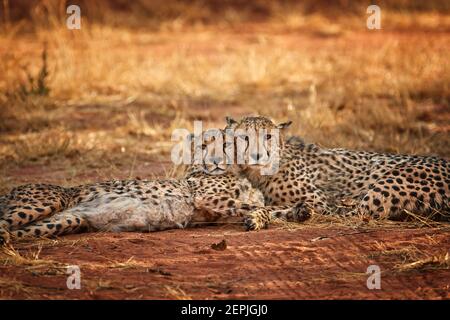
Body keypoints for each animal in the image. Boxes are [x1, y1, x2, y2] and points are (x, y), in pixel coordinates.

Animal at [0, 129, 304, 244]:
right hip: (45, 203)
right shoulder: (206, 200)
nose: (216, 160)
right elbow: (256, 207)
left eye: (227, 144)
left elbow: (272, 209)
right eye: (204, 145)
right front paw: (256, 219)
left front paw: (300, 211)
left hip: (65, 221)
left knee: (14, 232)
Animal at [225, 116, 450, 224]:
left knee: (349, 213)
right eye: (244, 137)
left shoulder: (320, 201)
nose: (257, 155)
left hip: (391, 179)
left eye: (268, 136)